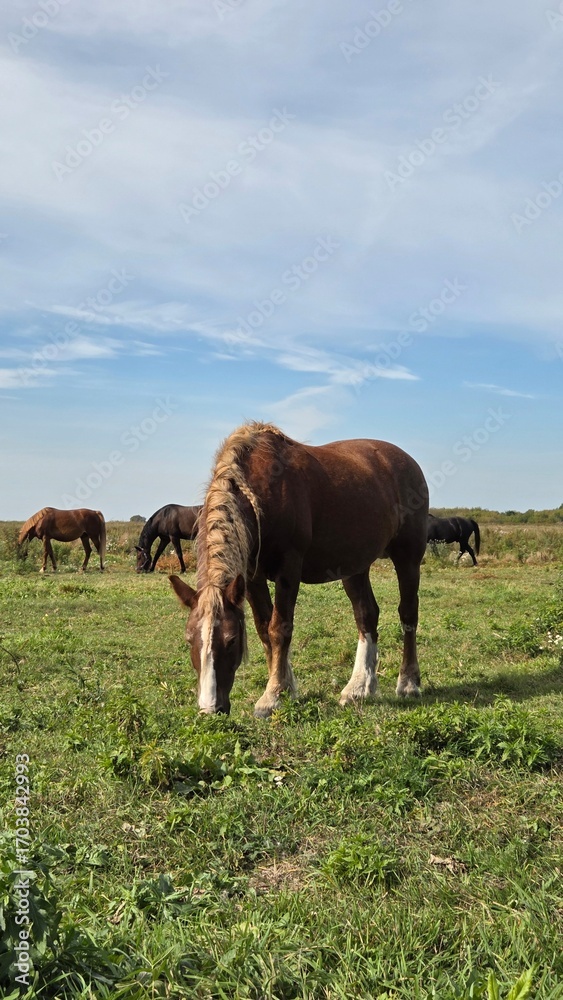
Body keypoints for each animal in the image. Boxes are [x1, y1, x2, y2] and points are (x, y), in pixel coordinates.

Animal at [169, 421, 429, 717]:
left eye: (232, 639)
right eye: (189, 639)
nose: (210, 708)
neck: (261, 490)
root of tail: (408, 462)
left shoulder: (289, 569)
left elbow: (279, 628)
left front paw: (273, 696)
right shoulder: (252, 576)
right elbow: (264, 629)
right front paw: (284, 685)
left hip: (408, 558)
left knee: (408, 613)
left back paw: (408, 683)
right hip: (355, 566)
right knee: (366, 615)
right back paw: (360, 687)